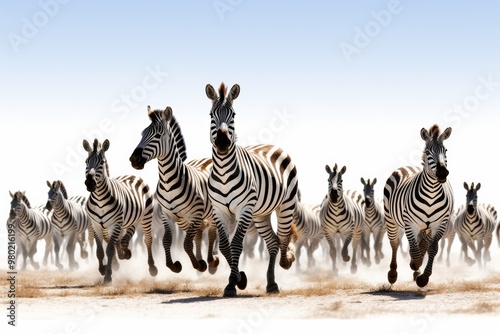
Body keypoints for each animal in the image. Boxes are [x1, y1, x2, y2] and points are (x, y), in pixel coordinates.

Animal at [83, 137, 158, 284]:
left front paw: (108, 276)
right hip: (124, 223)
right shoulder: (95, 224)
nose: (90, 183)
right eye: (86, 162)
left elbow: (109, 249)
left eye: (102, 162)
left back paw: (152, 268)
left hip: (145, 217)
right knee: (121, 239)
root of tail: (132, 175)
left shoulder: (115, 223)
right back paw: (122, 255)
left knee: (147, 240)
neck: (100, 199)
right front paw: (103, 269)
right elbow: (100, 251)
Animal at [129, 106, 219, 274]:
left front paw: (197, 264)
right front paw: (174, 265)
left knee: (211, 233)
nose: (134, 160)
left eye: (158, 135)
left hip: (211, 213)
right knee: (199, 235)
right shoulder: (167, 215)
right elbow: (167, 240)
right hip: (186, 220)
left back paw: (211, 260)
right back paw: (203, 260)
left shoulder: (195, 213)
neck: (168, 182)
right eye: (142, 134)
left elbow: (186, 243)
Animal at [205, 83, 298, 298]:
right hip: (260, 215)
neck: (223, 171)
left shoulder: (244, 208)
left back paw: (286, 260)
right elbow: (225, 246)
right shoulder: (219, 210)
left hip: (285, 206)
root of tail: (272, 145)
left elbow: (237, 244)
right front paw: (240, 279)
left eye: (233, 114)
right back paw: (271, 283)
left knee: (282, 238)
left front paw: (232, 284)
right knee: (272, 242)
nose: (222, 143)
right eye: (211, 115)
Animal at [382, 124, 454, 288]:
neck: (431, 194)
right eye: (427, 152)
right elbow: (414, 251)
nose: (442, 173)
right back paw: (393, 274)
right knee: (395, 243)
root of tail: (407, 166)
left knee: (423, 244)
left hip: (426, 227)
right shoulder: (410, 224)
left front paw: (423, 278)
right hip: (391, 220)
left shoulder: (440, 224)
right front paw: (415, 264)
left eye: (446, 150)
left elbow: (432, 248)